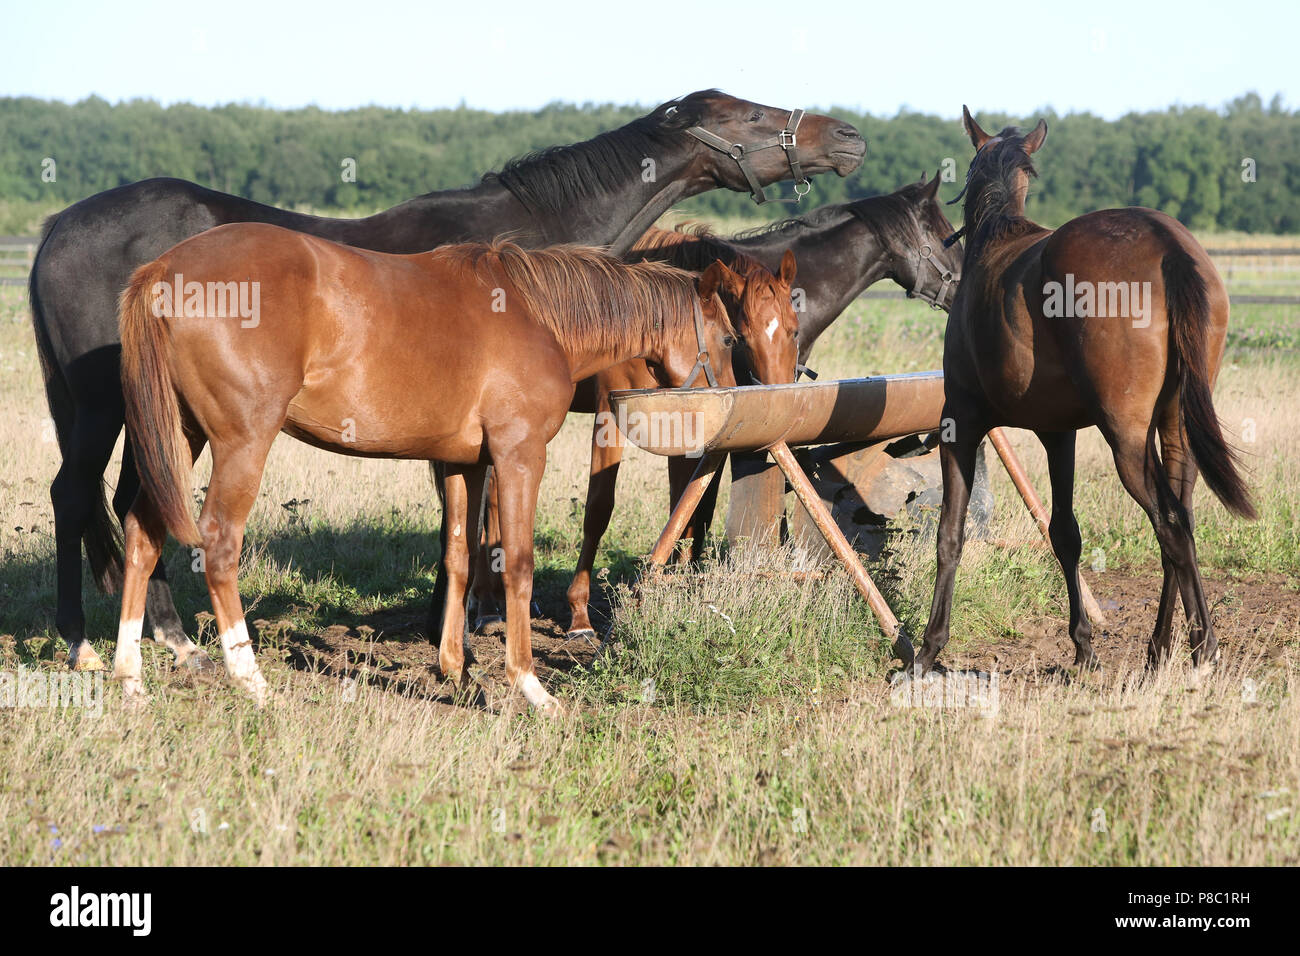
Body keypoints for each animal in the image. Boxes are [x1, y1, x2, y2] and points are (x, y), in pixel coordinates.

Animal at [115, 226, 738, 717]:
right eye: (731, 338)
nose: (732, 406)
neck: (538, 314)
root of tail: (162, 270)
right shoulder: (519, 455)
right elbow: (517, 564)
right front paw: (531, 687)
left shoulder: (463, 463)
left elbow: (460, 558)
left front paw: (456, 673)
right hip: (242, 442)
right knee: (219, 544)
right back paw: (252, 682)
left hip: (181, 436)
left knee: (142, 532)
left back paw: (130, 677)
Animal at [909, 108, 1253, 676]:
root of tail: (1167, 243)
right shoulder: (1059, 433)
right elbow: (1065, 534)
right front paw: (1084, 645)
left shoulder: (960, 423)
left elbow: (950, 533)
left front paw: (928, 647)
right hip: (1174, 423)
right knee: (1181, 519)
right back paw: (1162, 647)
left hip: (1127, 439)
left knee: (1171, 524)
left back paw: (1204, 647)